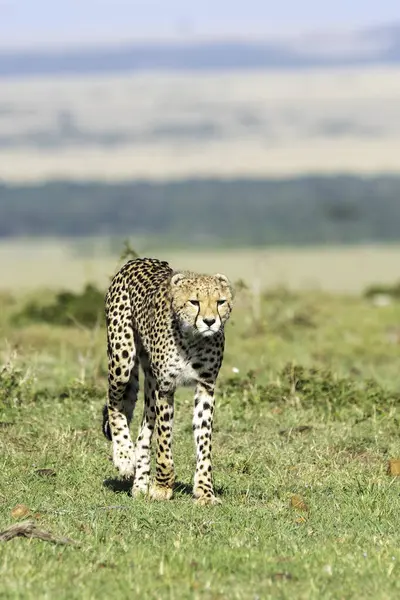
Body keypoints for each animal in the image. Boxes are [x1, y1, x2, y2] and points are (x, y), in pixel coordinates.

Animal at [101, 255, 234, 504]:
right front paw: (163, 486)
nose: (210, 321)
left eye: (220, 302)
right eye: (194, 302)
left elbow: (204, 441)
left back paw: (140, 483)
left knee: (144, 432)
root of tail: (140, 260)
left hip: (149, 381)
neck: (193, 338)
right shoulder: (165, 387)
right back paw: (124, 456)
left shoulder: (205, 387)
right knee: (113, 402)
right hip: (122, 358)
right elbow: (164, 441)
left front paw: (204, 490)